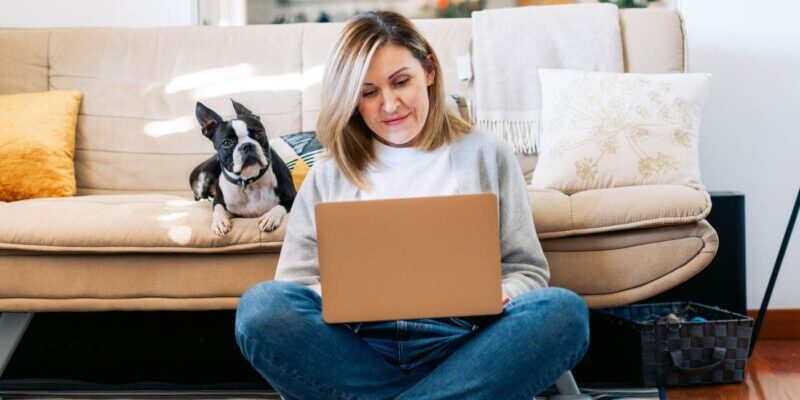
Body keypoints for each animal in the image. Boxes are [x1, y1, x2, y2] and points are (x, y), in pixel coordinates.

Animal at [192, 101, 296, 236]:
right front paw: (219, 222)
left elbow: (279, 206)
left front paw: (270, 218)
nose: (247, 145)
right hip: (205, 176)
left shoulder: (293, 197)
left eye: (259, 133)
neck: (249, 180)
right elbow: (218, 208)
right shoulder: (220, 201)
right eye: (226, 143)